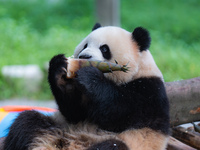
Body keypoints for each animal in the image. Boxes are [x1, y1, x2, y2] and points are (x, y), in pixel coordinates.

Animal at [3, 23, 170, 150]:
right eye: (85, 45)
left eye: (104, 49)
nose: (84, 57)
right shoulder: (78, 105)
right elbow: (74, 112)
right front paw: (59, 67)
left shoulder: (150, 91)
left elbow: (119, 113)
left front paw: (90, 75)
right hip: (57, 128)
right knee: (26, 123)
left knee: (112, 146)